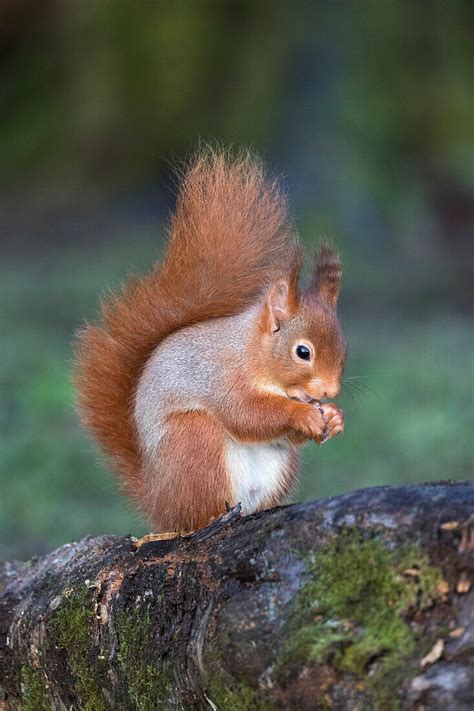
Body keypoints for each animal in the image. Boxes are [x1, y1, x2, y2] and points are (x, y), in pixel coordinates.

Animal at [76, 150, 346, 532]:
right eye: (303, 351)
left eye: (344, 347)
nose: (329, 391)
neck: (253, 352)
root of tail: (159, 502)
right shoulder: (222, 376)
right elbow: (247, 414)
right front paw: (303, 414)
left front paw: (334, 417)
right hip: (193, 441)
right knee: (197, 513)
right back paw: (213, 518)